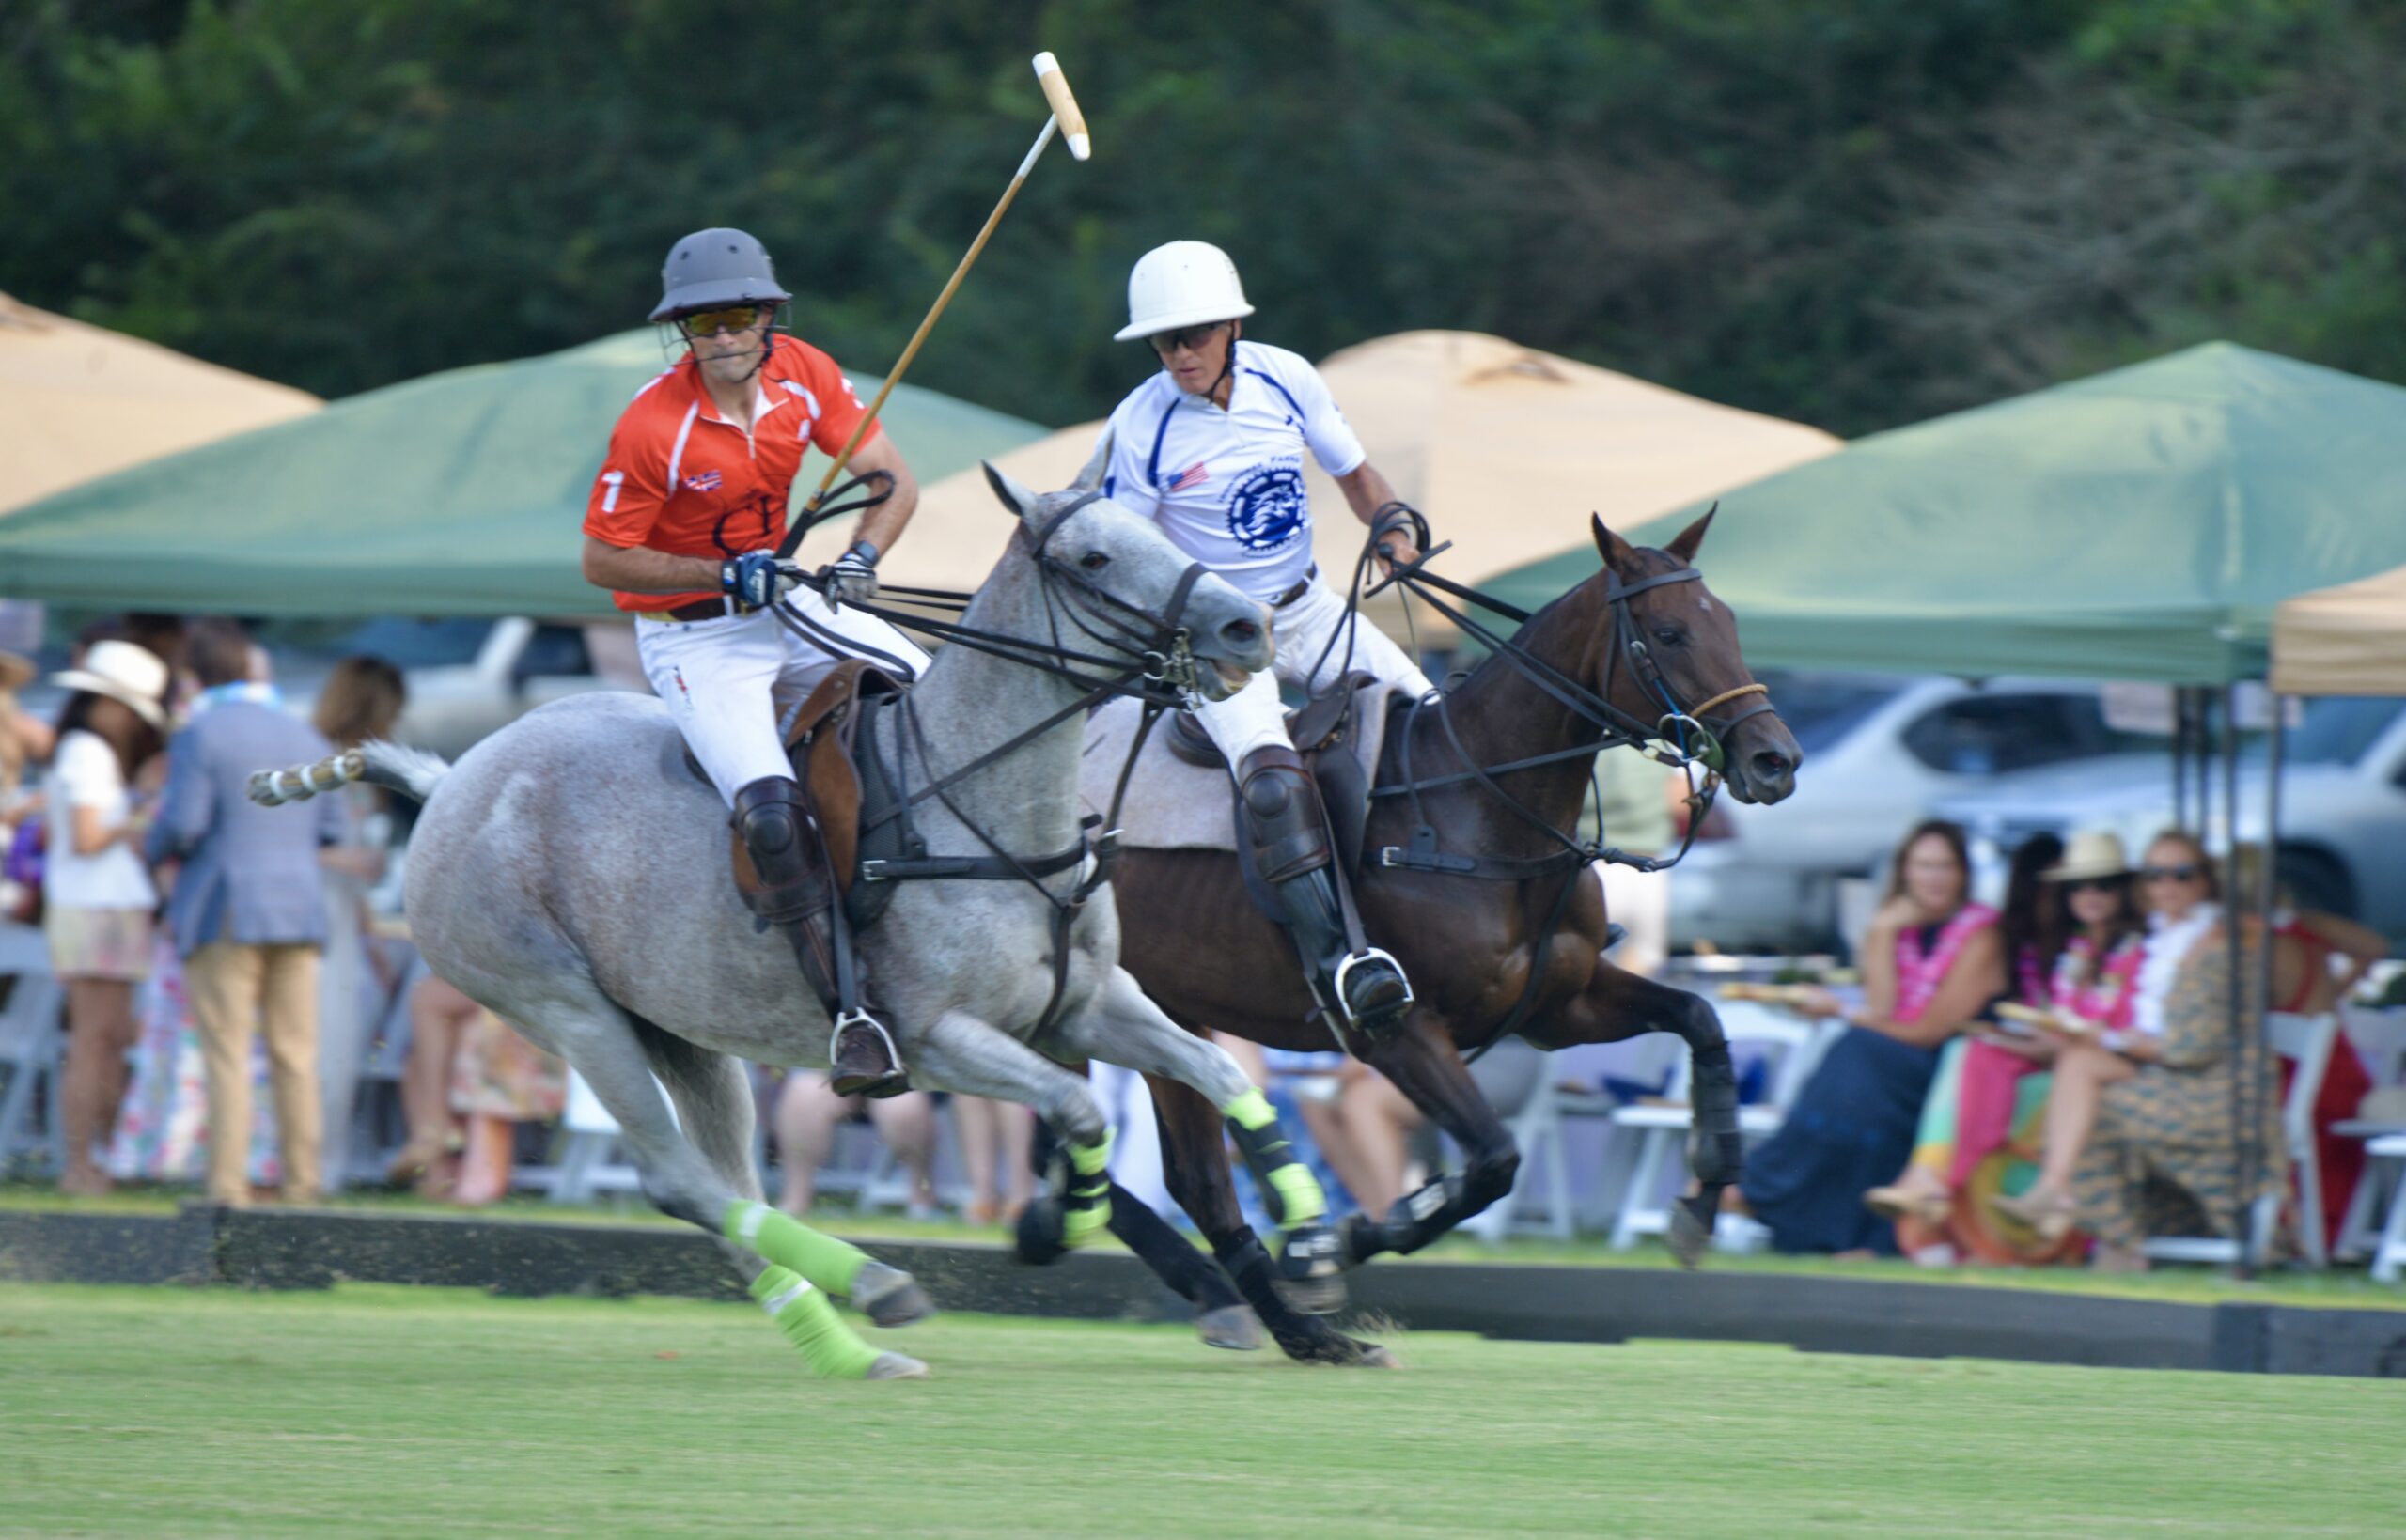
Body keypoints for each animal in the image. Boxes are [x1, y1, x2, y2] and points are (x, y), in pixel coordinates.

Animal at [284, 438, 1347, 1376]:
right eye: (1094, 557)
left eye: (1160, 532)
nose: (1247, 627)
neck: (984, 798)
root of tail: (453, 776)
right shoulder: (936, 1035)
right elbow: (1082, 1107)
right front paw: (1057, 1219)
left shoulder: (1088, 1001)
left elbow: (1216, 1068)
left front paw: (1310, 1237)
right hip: (561, 1006)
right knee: (675, 1176)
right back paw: (875, 1286)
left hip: (683, 1031)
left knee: (724, 1183)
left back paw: (853, 1344)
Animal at [1101, 507, 1799, 1357]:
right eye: (1667, 633)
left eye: (1727, 619)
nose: (1777, 759)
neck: (1484, 808)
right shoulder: (1395, 1028)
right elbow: (1496, 1159)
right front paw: (1341, 1240)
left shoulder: (1557, 1007)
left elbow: (1700, 1017)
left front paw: (1701, 1200)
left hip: (1162, 1011)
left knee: (1183, 1175)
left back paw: (1278, 1321)